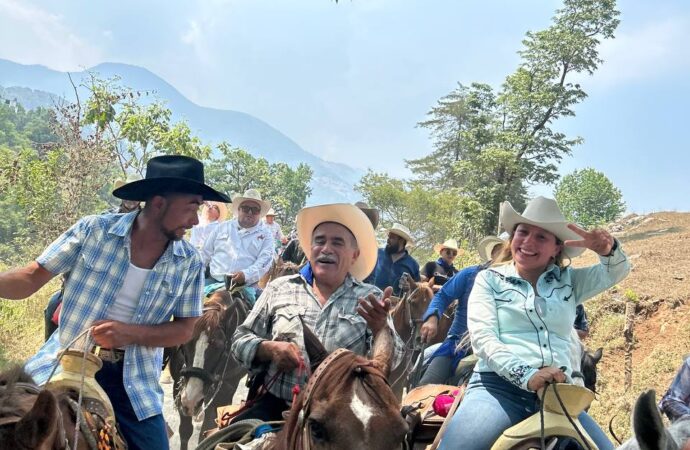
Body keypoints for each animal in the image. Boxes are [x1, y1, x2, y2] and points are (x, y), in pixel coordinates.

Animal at [168, 288, 251, 450]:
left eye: (219, 346)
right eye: (186, 342)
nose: (192, 399)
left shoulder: (224, 391)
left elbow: (207, 431)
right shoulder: (179, 386)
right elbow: (185, 430)